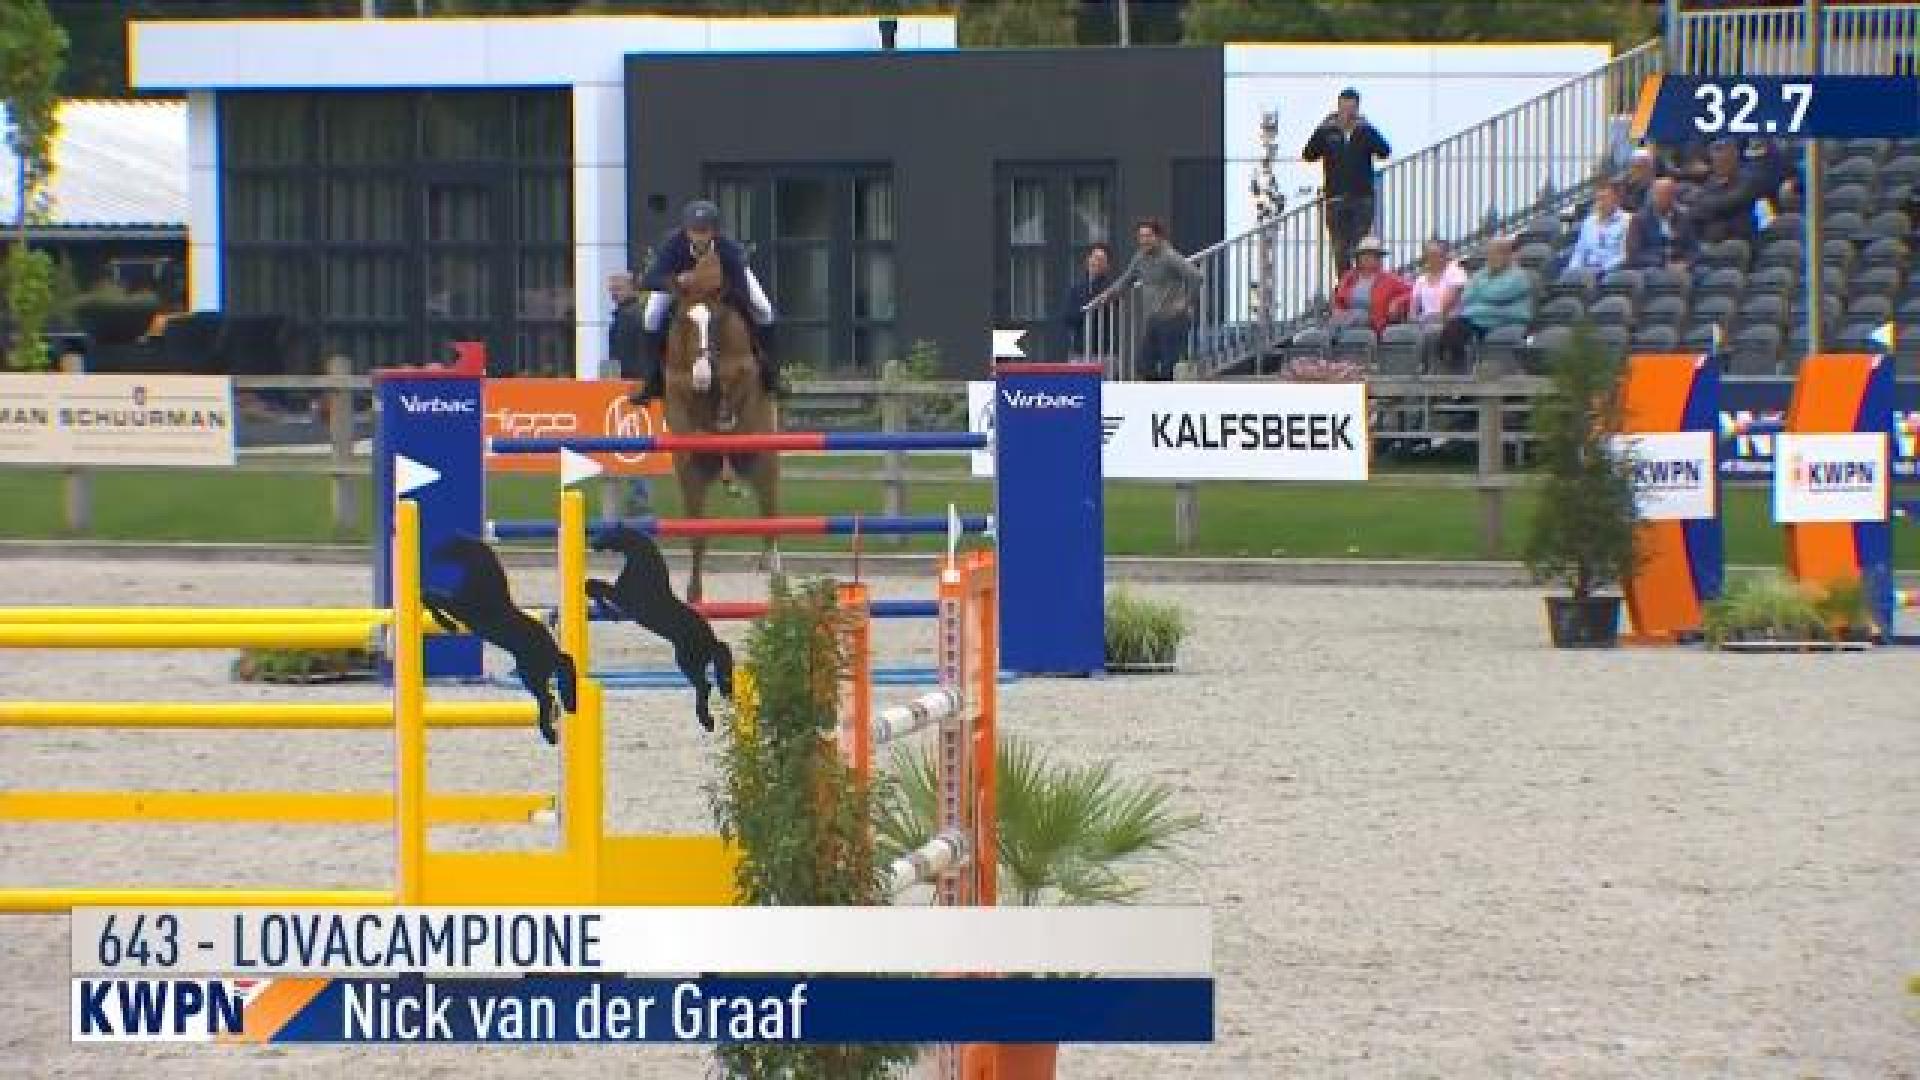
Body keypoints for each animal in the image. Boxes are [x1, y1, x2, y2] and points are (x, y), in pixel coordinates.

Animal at [424, 536, 577, 745]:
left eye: (453, 544)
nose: (433, 555)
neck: (486, 586)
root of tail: (553, 652)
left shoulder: (461, 607)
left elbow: (431, 596)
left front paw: (448, 625)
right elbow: (431, 596)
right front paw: (448, 624)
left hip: (530, 673)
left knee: (546, 698)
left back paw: (550, 734)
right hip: (536, 673)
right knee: (550, 697)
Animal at [587, 525, 735, 732]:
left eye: (609, 533)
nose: (593, 544)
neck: (644, 570)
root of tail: (712, 641)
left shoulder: (622, 597)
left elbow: (594, 586)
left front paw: (607, 610)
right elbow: (594, 586)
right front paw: (607, 611)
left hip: (687, 661)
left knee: (704, 686)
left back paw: (706, 721)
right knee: (704, 686)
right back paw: (707, 721)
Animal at [661, 243, 780, 603]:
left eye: (715, 322)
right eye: (684, 321)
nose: (702, 376)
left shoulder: (744, 368)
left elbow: (732, 379)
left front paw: (724, 413)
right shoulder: (677, 380)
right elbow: (686, 404)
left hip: (764, 463)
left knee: (771, 524)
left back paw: (777, 582)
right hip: (693, 479)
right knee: (698, 535)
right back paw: (694, 594)